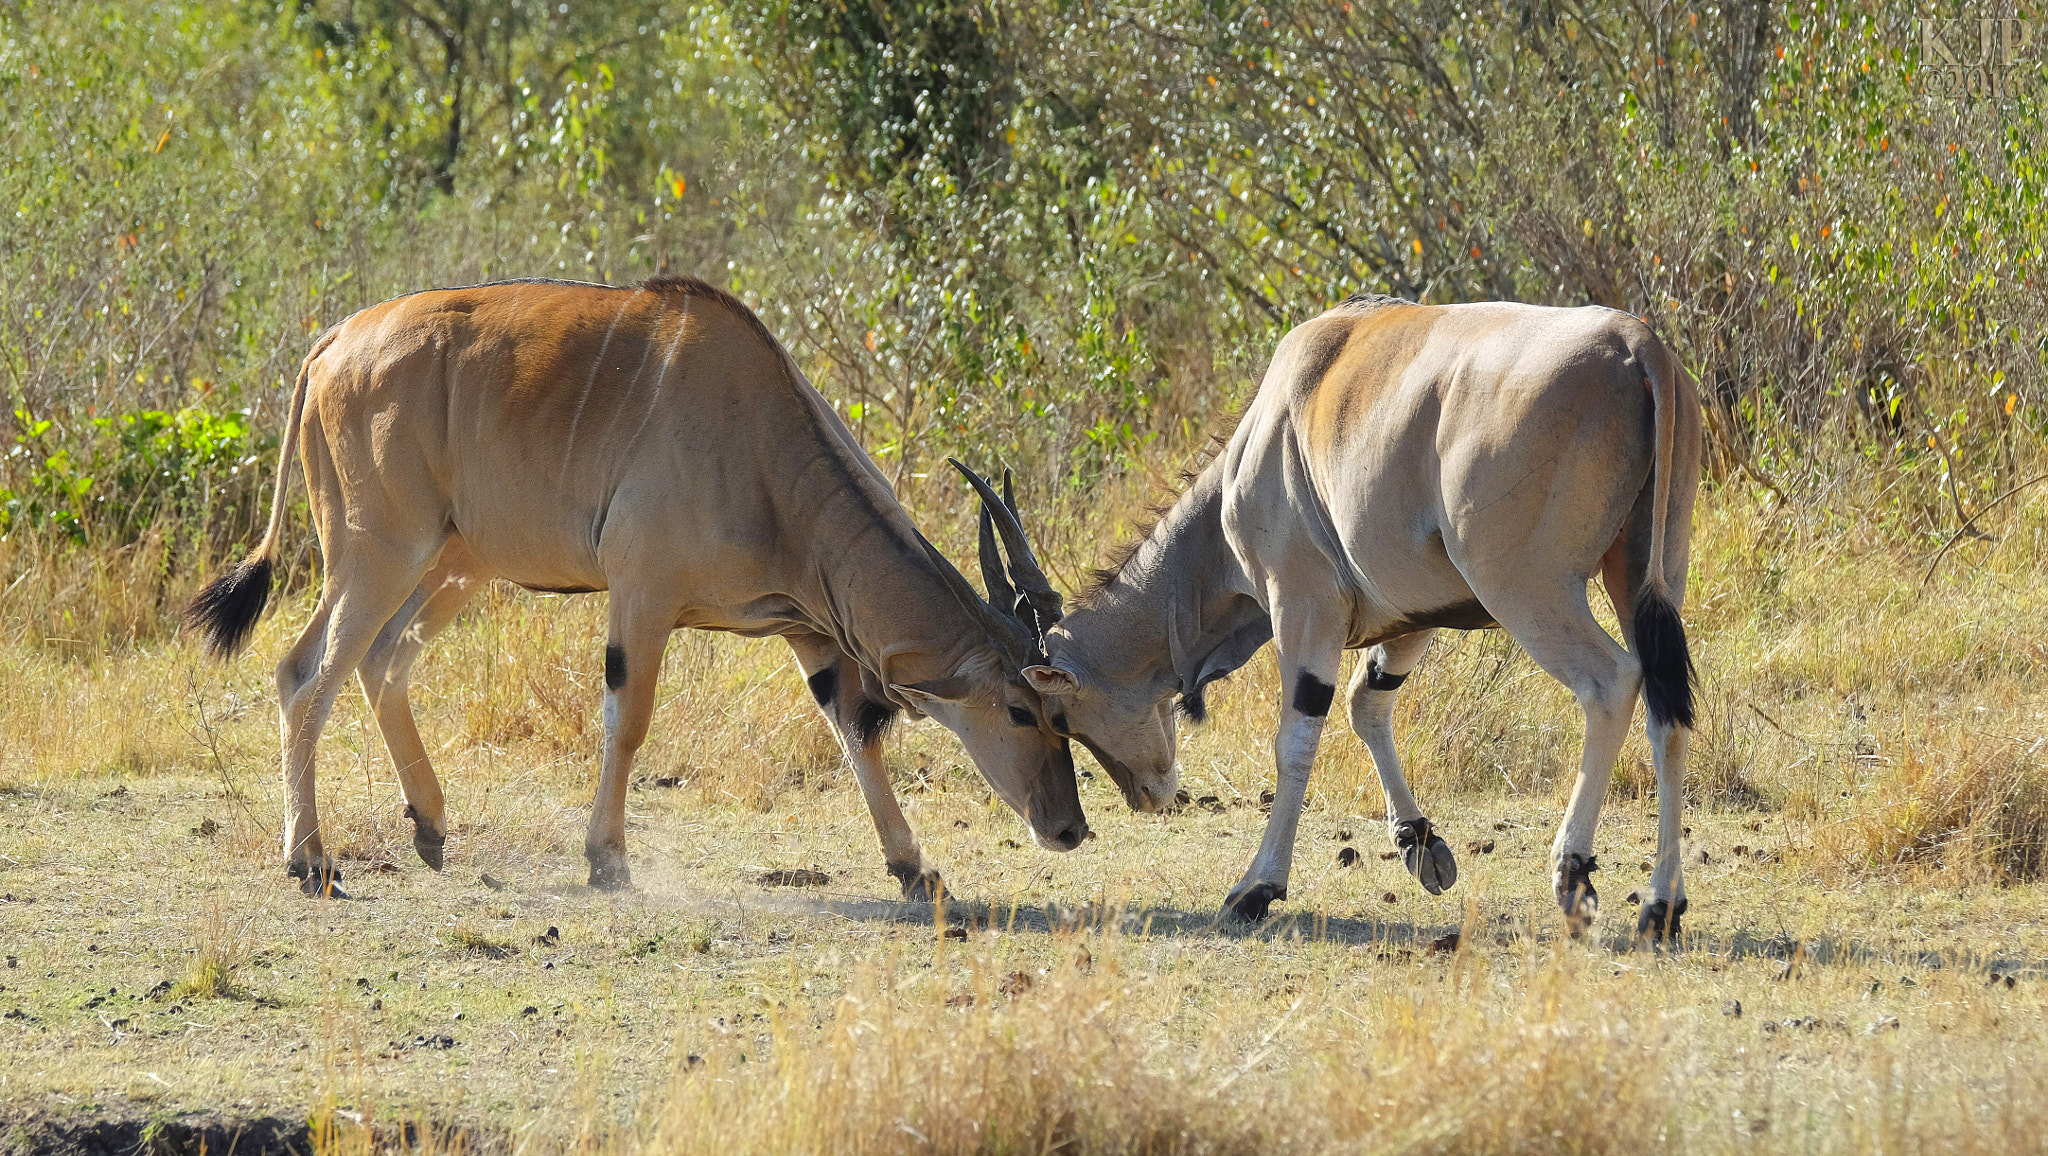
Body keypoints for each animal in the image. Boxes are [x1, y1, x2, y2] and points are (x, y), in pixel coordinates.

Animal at [188, 274, 1089, 897]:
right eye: (1022, 710)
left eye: (1064, 717)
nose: (1070, 828)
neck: (765, 451)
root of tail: (332, 342)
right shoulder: (642, 595)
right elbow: (628, 723)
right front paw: (607, 861)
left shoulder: (806, 628)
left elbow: (854, 732)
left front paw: (915, 869)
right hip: (375, 555)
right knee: (306, 674)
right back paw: (310, 858)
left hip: (451, 564)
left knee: (380, 664)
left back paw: (431, 828)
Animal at [970, 295, 1695, 938]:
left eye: (1053, 714)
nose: (1145, 795)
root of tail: (1637, 345)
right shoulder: (1412, 618)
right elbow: (1365, 702)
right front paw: (1419, 844)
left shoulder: (1302, 605)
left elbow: (1296, 737)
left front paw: (1256, 888)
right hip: (1641, 580)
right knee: (1667, 708)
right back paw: (1661, 908)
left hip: (1528, 589)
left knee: (1611, 683)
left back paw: (1572, 874)